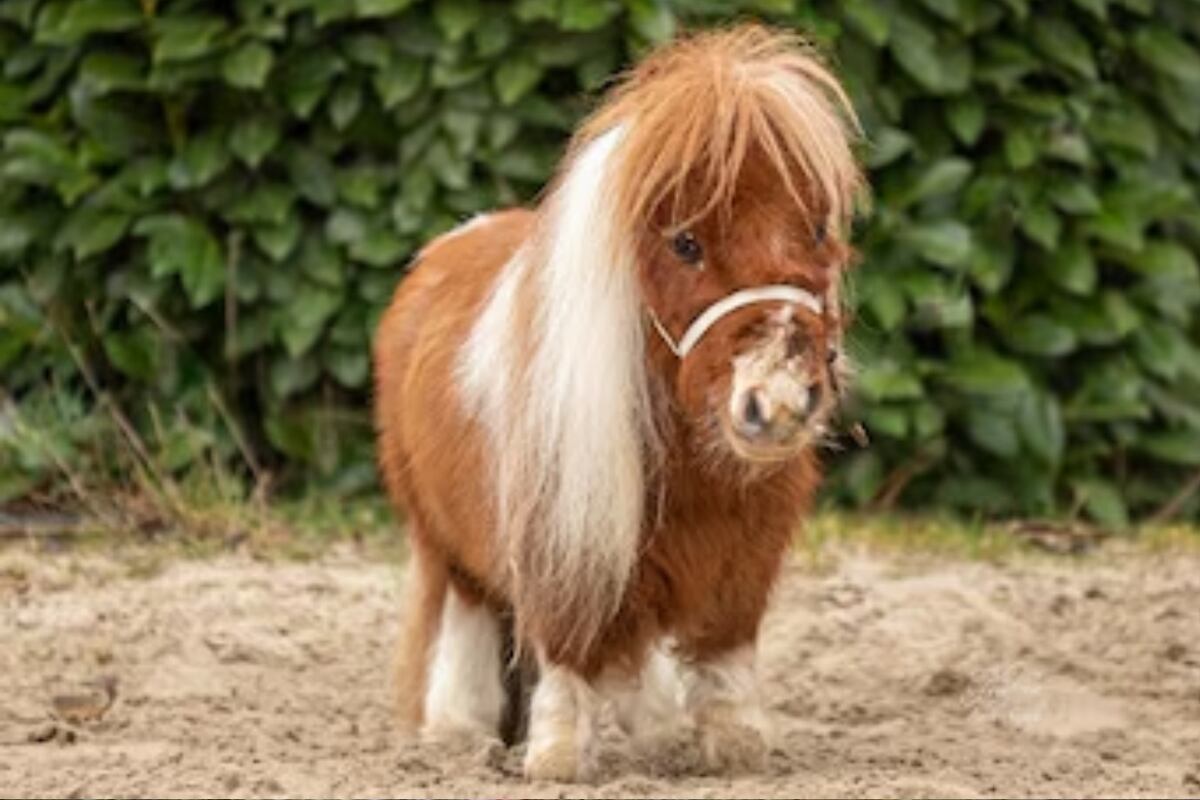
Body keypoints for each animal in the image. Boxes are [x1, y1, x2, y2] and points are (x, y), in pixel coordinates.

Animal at [372, 23, 864, 780]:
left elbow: (722, 655)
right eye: (685, 243)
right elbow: (568, 651)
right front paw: (555, 756)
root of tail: (443, 250)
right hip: (440, 534)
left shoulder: (744, 553)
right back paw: (461, 731)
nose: (778, 401)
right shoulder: (563, 540)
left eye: (815, 229)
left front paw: (732, 746)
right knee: (469, 614)